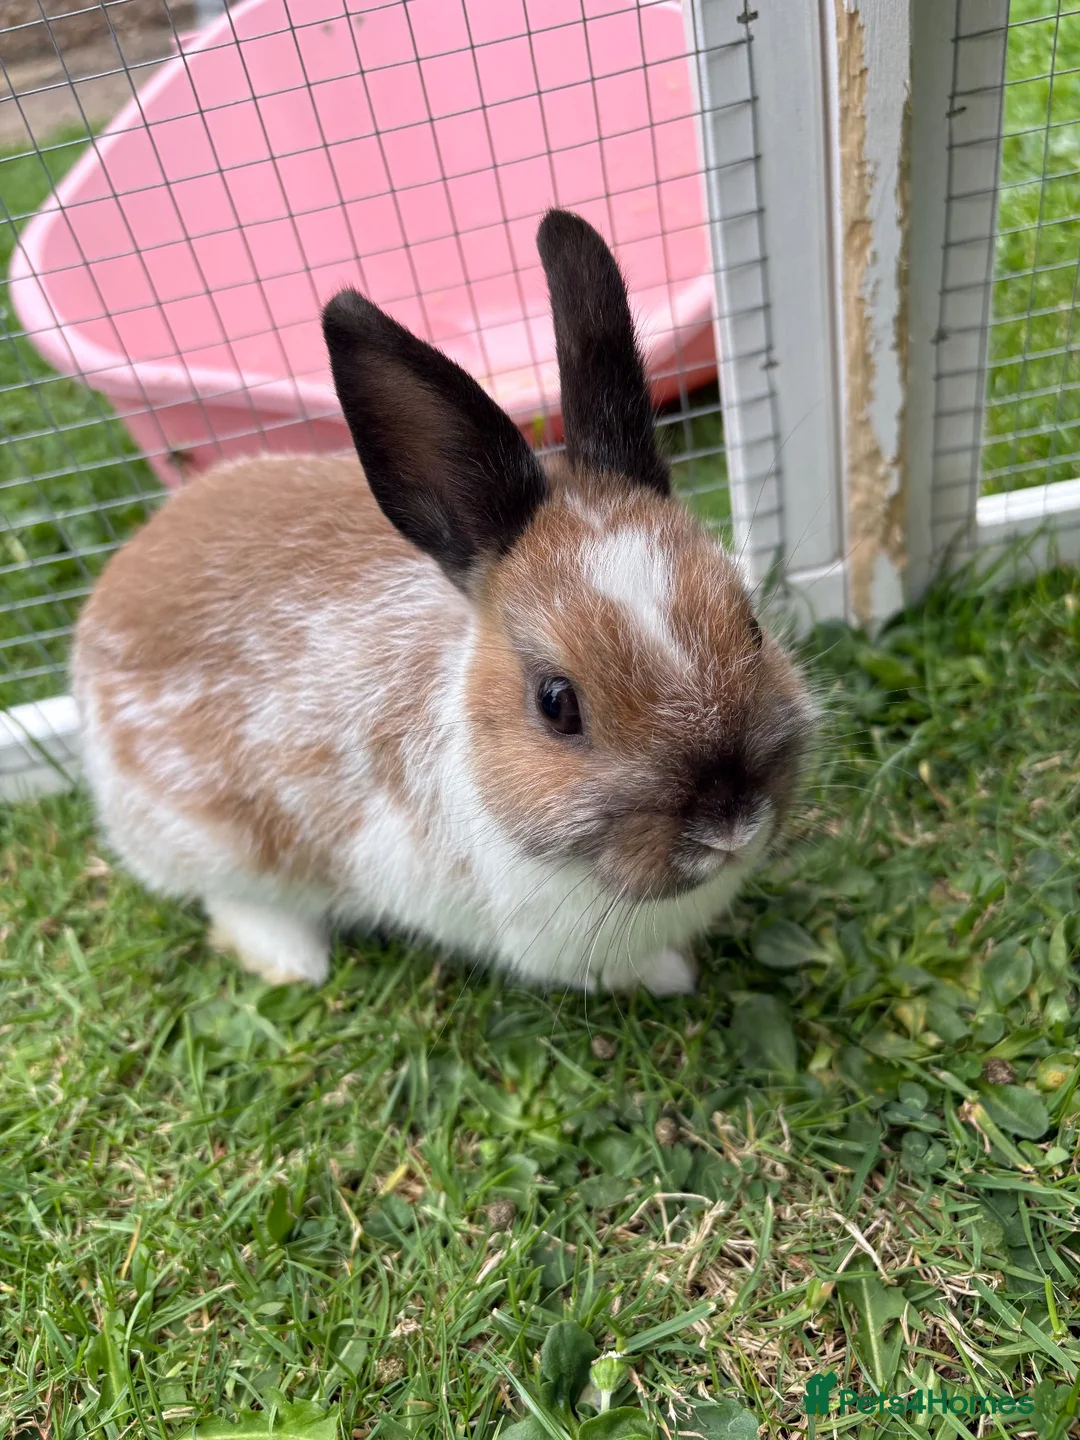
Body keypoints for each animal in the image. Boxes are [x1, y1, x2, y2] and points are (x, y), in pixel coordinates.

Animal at [72, 209, 814, 996]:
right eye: (557, 704)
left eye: (753, 626)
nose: (730, 820)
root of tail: (106, 598)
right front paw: (673, 975)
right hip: (208, 843)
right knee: (233, 900)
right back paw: (294, 963)